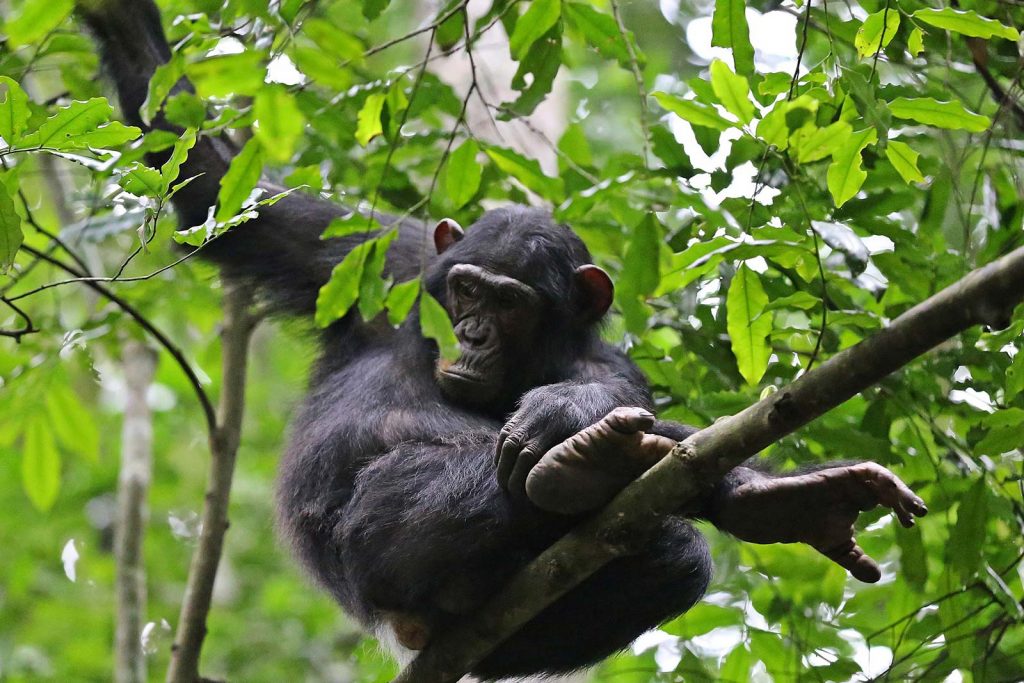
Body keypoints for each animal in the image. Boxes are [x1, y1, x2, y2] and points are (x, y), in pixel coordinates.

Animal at [79, 1, 929, 679]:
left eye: (510, 304)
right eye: (464, 290)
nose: (473, 332)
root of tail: (407, 627)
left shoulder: (605, 356)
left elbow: (616, 392)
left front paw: (569, 414)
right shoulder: (376, 257)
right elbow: (218, 192)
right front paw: (115, 14)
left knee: (675, 555)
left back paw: (685, 484)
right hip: (370, 547)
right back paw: (593, 472)